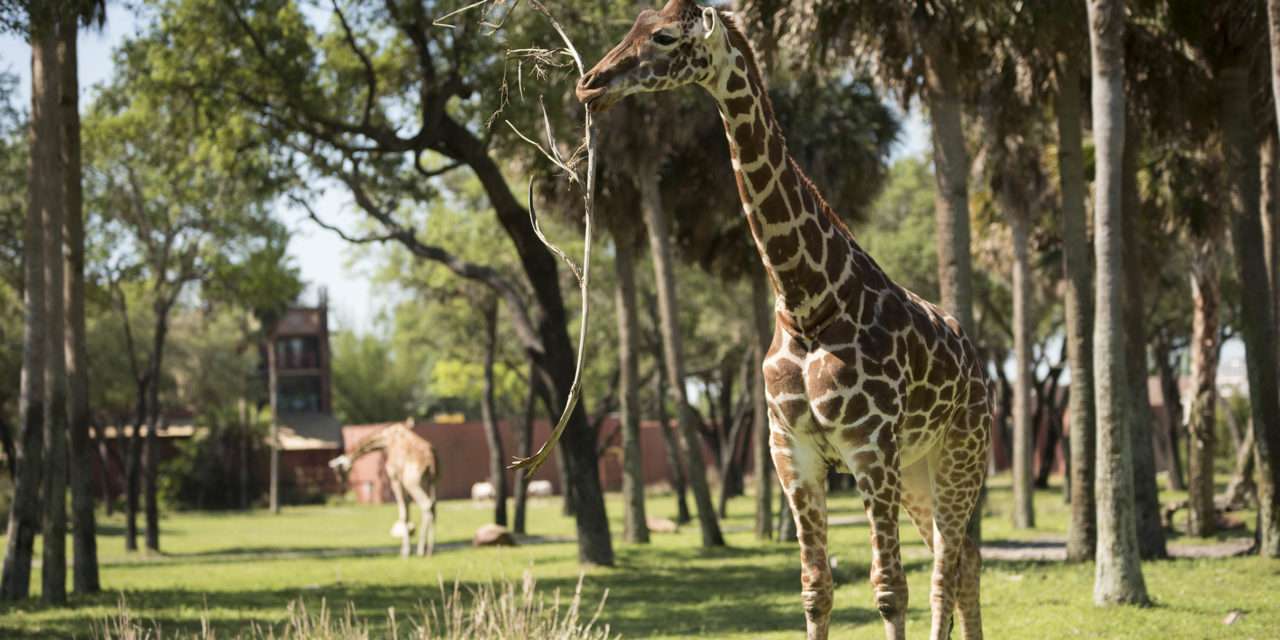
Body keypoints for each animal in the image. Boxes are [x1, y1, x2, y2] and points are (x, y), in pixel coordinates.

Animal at [330, 417, 440, 558]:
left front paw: (405, 552)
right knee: (433, 505)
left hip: (413, 482)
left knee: (426, 504)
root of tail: (431, 460)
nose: (342, 485)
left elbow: (403, 513)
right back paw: (430, 549)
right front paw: (406, 549)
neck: (385, 440)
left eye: (339, 471)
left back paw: (422, 550)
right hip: (432, 481)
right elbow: (407, 510)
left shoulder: (395, 478)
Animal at [578, 2, 988, 637]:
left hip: (960, 455)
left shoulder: (870, 449)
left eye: (665, 36)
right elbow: (816, 589)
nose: (591, 84)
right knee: (964, 559)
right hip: (920, 468)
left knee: (946, 569)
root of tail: (980, 367)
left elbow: (890, 590)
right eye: (634, 23)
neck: (808, 303)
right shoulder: (789, 453)